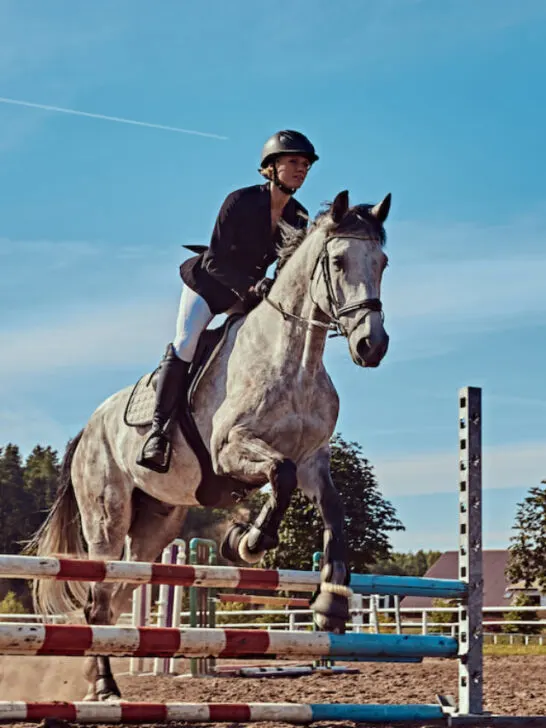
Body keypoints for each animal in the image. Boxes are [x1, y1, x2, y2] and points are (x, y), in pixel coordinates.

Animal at [26, 189, 391, 701]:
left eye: (383, 262)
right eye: (338, 261)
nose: (371, 346)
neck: (294, 358)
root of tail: (87, 428)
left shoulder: (314, 460)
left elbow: (334, 514)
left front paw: (331, 606)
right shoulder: (230, 450)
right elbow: (280, 476)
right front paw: (247, 542)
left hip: (155, 527)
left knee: (116, 597)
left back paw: (102, 680)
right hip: (107, 519)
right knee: (97, 600)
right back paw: (104, 687)